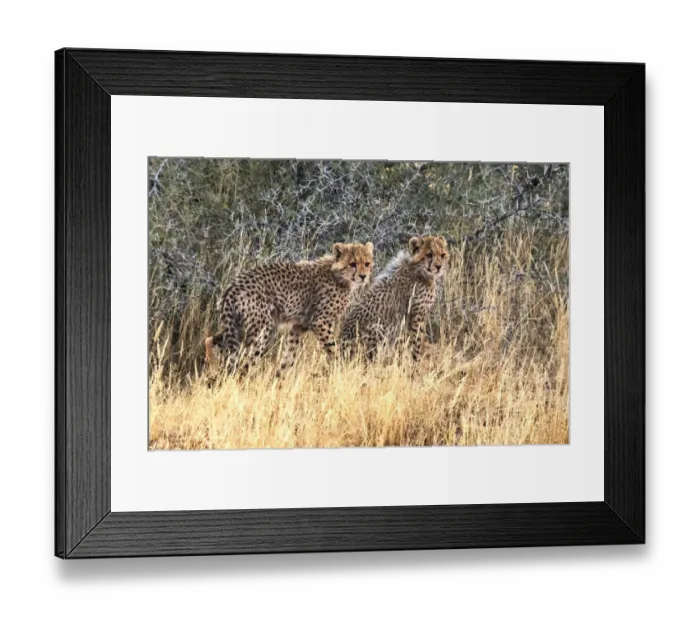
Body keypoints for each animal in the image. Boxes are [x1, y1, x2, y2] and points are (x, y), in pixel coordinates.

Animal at [205, 242, 374, 374]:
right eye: (352, 264)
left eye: (367, 264)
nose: (363, 276)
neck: (338, 276)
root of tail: (232, 287)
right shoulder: (320, 322)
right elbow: (333, 349)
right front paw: (340, 369)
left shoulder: (298, 326)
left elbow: (289, 355)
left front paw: (279, 378)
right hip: (261, 328)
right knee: (246, 361)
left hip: (237, 326)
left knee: (212, 339)